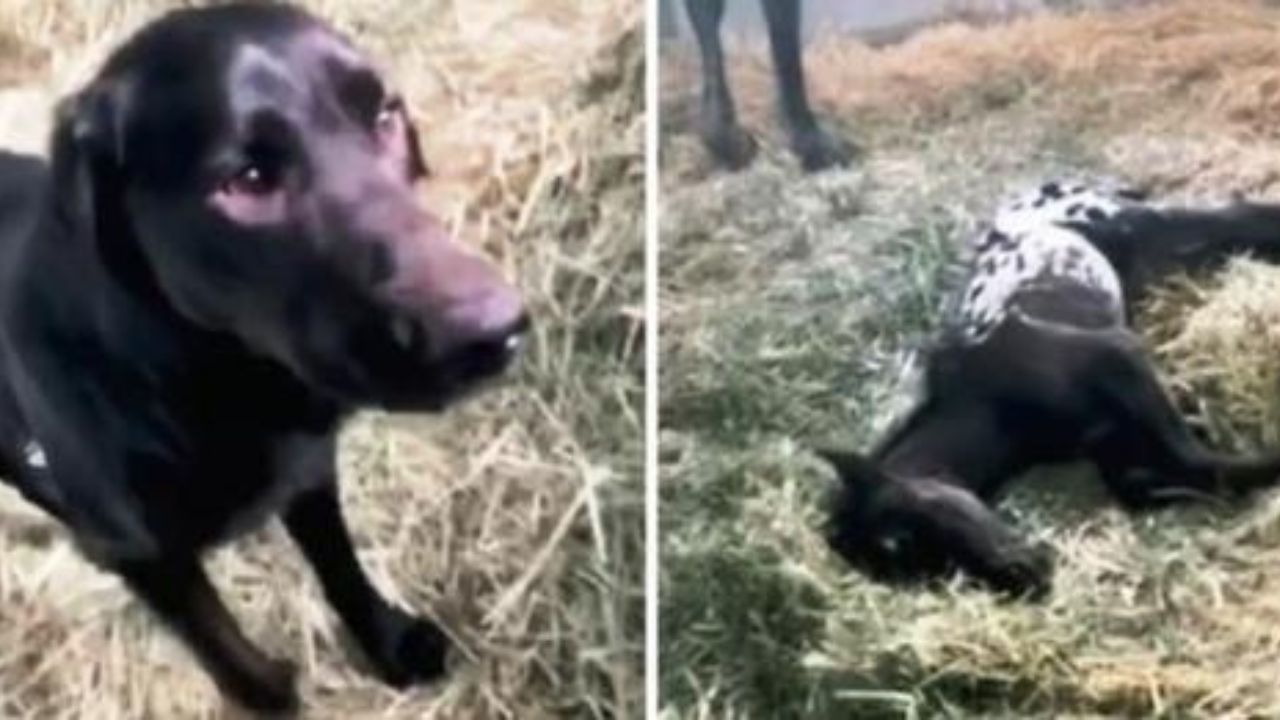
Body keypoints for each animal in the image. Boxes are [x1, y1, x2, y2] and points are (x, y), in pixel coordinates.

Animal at [0, 1, 524, 712]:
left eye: (384, 116)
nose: (494, 331)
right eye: (246, 181)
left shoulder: (306, 470)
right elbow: (229, 653)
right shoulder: (144, 559)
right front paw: (274, 696)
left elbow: (340, 566)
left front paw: (387, 641)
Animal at [819, 181, 1280, 597]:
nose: (1026, 581)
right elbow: (1144, 480)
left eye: (903, 537)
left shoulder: (1116, 355)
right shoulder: (1105, 438)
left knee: (1236, 217)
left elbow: (1193, 458)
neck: (988, 404)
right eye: (920, 583)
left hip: (1135, 224)